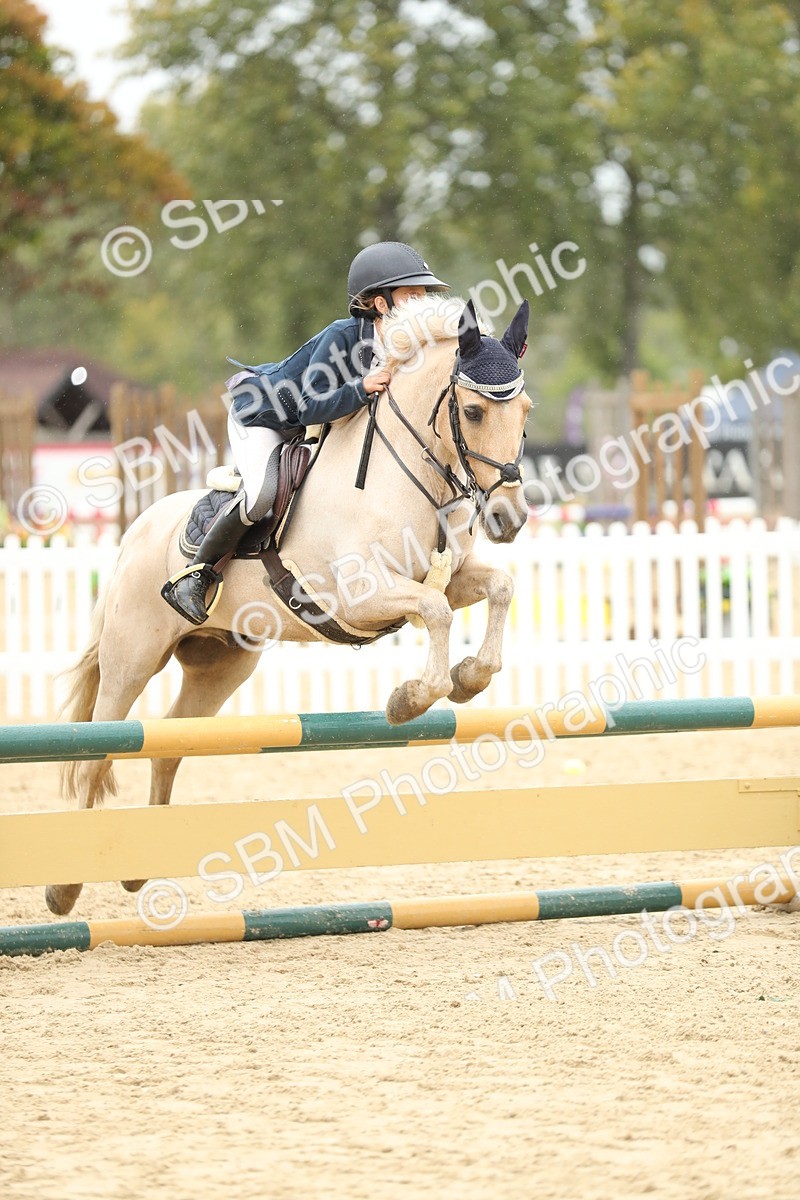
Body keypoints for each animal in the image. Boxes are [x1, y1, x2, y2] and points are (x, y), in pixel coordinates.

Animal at [46, 295, 532, 915]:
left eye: (526, 411)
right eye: (472, 412)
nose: (509, 519)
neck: (404, 475)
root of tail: (136, 531)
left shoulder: (449, 578)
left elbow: (497, 587)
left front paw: (472, 677)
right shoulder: (362, 594)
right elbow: (435, 612)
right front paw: (411, 700)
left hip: (221, 665)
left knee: (170, 744)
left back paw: (140, 871)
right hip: (131, 659)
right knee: (97, 750)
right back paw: (63, 889)